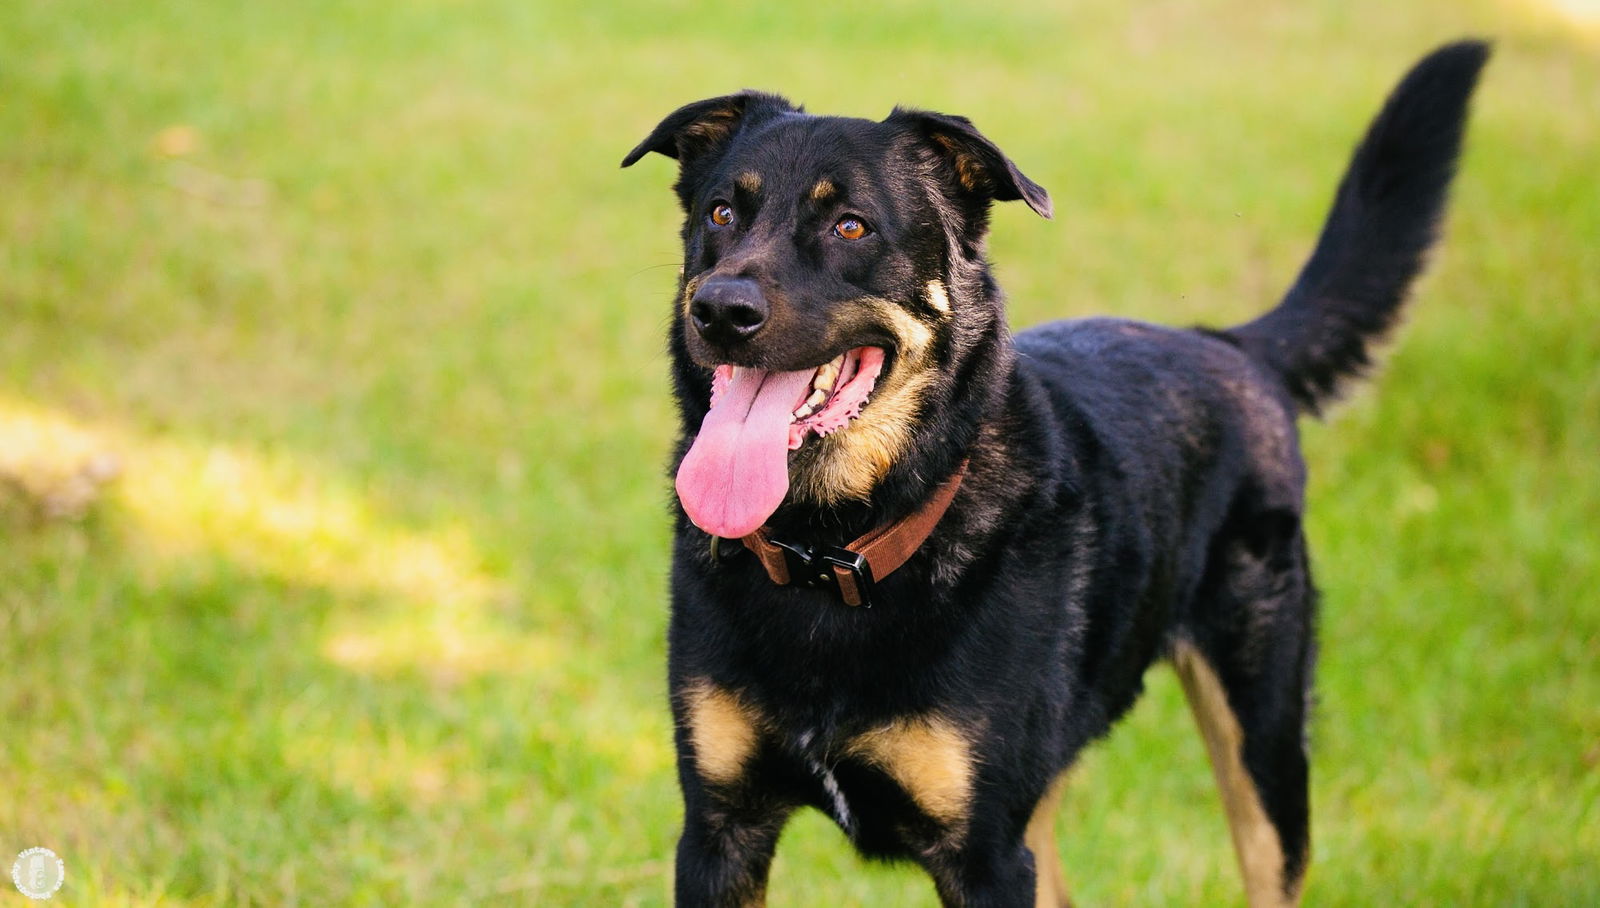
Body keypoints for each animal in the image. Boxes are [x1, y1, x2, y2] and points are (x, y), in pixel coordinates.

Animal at [620, 38, 1484, 901]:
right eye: (721, 214)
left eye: (850, 225)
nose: (720, 311)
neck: (831, 552)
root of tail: (1231, 346)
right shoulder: (720, 831)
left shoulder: (989, 854)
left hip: (1263, 741)